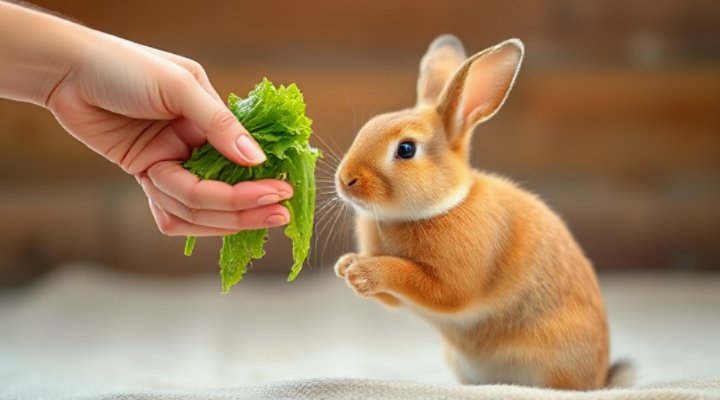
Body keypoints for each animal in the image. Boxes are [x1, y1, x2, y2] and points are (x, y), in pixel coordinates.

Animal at [332, 35, 630, 390]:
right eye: (368, 127)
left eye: (406, 149)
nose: (345, 180)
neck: (443, 205)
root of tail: (599, 378)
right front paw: (346, 266)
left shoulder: (451, 280)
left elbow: (416, 279)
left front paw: (362, 272)